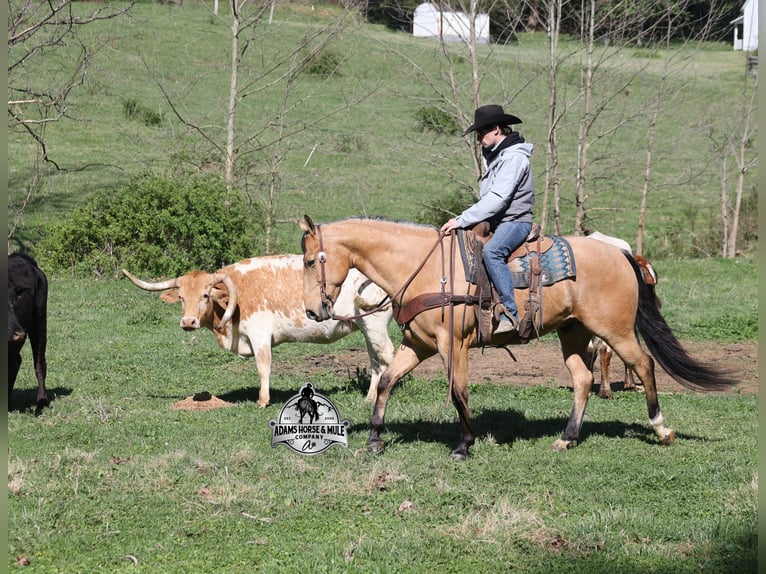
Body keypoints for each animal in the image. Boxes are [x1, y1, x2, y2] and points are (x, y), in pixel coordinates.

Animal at [299, 216, 736, 460]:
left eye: (309, 260)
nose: (314, 311)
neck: (427, 268)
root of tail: (622, 254)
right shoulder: (419, 344)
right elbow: (388, 380)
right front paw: (375, 439)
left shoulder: (453, 345)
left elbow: (458, 392)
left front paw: (465, 444)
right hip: (573, 333)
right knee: (582, 380)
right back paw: (567, 439)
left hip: (615, 330)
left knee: (643, 364)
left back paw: (661, 430)